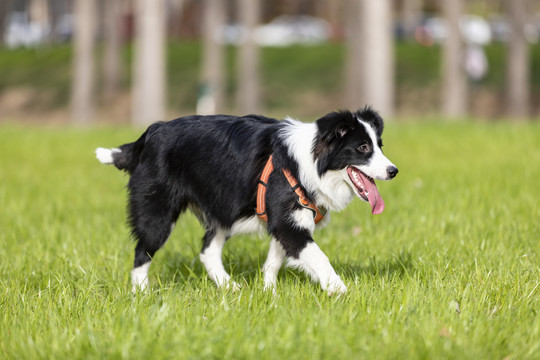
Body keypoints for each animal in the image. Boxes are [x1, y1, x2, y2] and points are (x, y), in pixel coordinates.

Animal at [95, 107, 396, 296]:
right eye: (362, 148)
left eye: (380, 146)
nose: (394, 171)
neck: (310, 162)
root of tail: (149, 134)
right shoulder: (289, 224)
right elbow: (319, 257)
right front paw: (341, 291)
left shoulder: (284, 220)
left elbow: (274, 261)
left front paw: (268, 294)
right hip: (157, 211)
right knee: (142, 252)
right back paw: (142, 294)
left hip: (222, 207)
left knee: (207, 251)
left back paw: (229, 288)